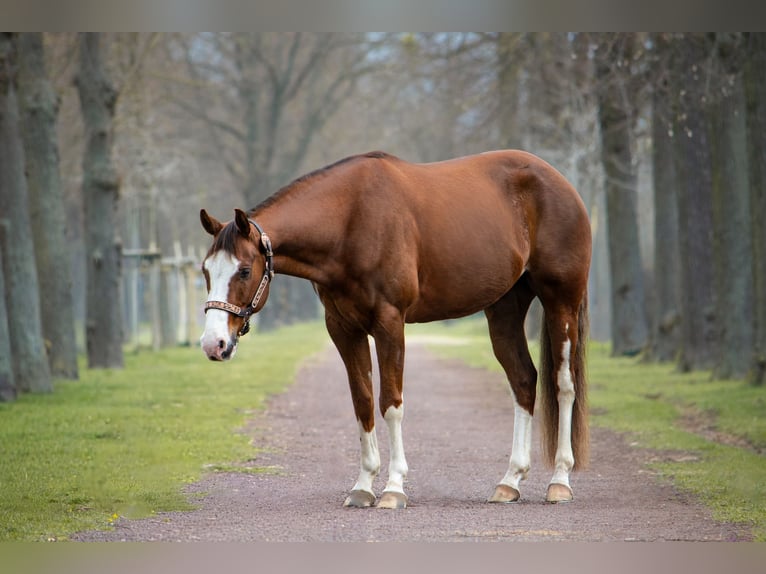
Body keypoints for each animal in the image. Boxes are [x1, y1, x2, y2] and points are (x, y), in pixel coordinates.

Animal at [199, 149, 592, 509]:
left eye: (244, 270)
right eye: (205, 270)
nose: (213, 344)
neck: (350, 221)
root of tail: (560, 182)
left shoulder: (390, 324)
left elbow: (391, 403)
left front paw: (393, 488)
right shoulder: (344, 329)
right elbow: (363, 402)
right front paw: (363, 486)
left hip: (561, 303)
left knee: (563, 384)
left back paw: (560, 481)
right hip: (504, 311)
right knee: (523, 380)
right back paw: (510, 482)